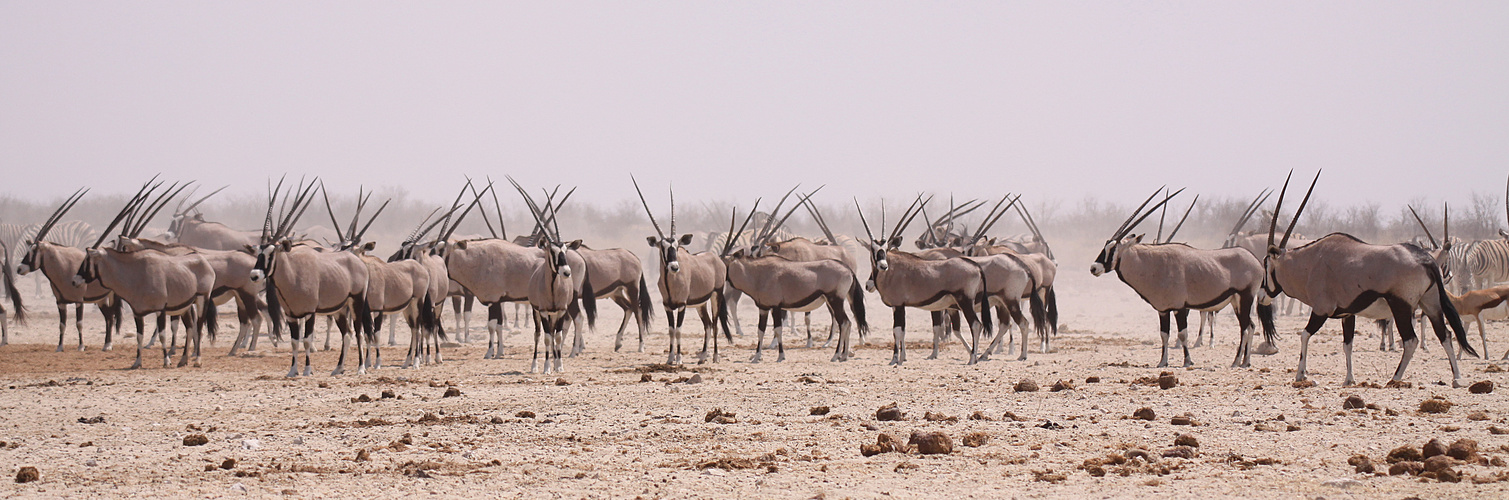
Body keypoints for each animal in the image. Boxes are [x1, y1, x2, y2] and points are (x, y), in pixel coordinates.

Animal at [14, 188, 124, 351]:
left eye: (33, 251)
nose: (20, 268)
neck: (63, 267)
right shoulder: (60, 302)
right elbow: (62, 325)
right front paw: (59, 347)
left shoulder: (79, 301)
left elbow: (79, 323)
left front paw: (81, 346)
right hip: (101, 299)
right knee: (109, 317)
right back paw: (106, 344)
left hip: (110, 296)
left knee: (110, 317)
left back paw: (108, 344)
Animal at [633, 175, 727, 364]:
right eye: (662, 246)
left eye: (677, 246)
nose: (674, 267)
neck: (671, 282)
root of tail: (716, 259)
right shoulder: (667, 305)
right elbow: (671, 330)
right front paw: (670, 358)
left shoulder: (682, 305)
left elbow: (678, 330)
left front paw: (679, 358)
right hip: (700, 303)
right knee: (707, 324)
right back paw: (702, 356)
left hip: (716, 295)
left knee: (714, 323)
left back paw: (715, 356)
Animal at [857, 197, 995, 367]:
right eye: (873, 249)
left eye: (885, 249)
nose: (883, 265)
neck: (892, 269)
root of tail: (975, 266)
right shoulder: (898, 307)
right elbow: (900, 330)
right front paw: (899, 358)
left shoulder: (899, 305)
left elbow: (898, 331)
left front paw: (897, 359)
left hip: (965, 301)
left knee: (976, 324)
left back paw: (972, 358)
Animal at [1098, 187, 1273, 368]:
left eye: (1112, 249)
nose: (1093, 268)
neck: (1154, 263)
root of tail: (1256, 262)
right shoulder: (1163, 310)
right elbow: (1164, 334)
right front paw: (1162, 362)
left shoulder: (1180, 307)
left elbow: (1183, 334)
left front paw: (1187, 361)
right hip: (1236, 301)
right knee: (1250, 326)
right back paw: (1246, 361)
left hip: (1245, 297)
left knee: (1245, 328)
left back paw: (1237, 361)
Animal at [1261, 172, 1472, 386]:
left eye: (1266, 265)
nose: (1262, 296)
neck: (1311, 262)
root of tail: (1425, 259)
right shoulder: (1347, 314)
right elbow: (1347, 344)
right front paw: (1349, 379)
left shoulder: (1322, 309)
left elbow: (1304, 335)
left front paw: (1301, 374)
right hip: (1430, 304)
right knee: (1445, 335)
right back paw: (1457, 377)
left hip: (1402, 306)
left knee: (1411, 340)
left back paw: (1395, 378)